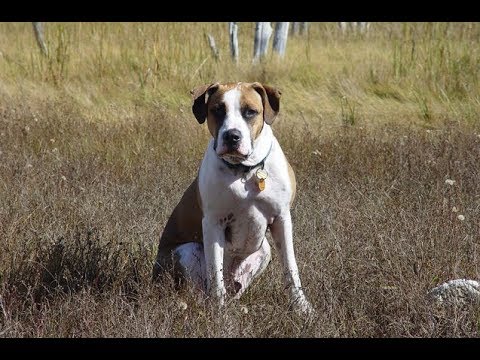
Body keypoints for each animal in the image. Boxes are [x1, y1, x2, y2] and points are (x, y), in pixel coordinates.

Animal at [152, 81, 314, 316]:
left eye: (250, 112)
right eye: (218, 110)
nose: (232, 136)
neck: (244, 170)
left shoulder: (282, 219)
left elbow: (291, 268)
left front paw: (302, 307)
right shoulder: (213, 223)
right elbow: (215, 271)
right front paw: (218, 313)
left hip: (264, 249)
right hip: (186, 250)